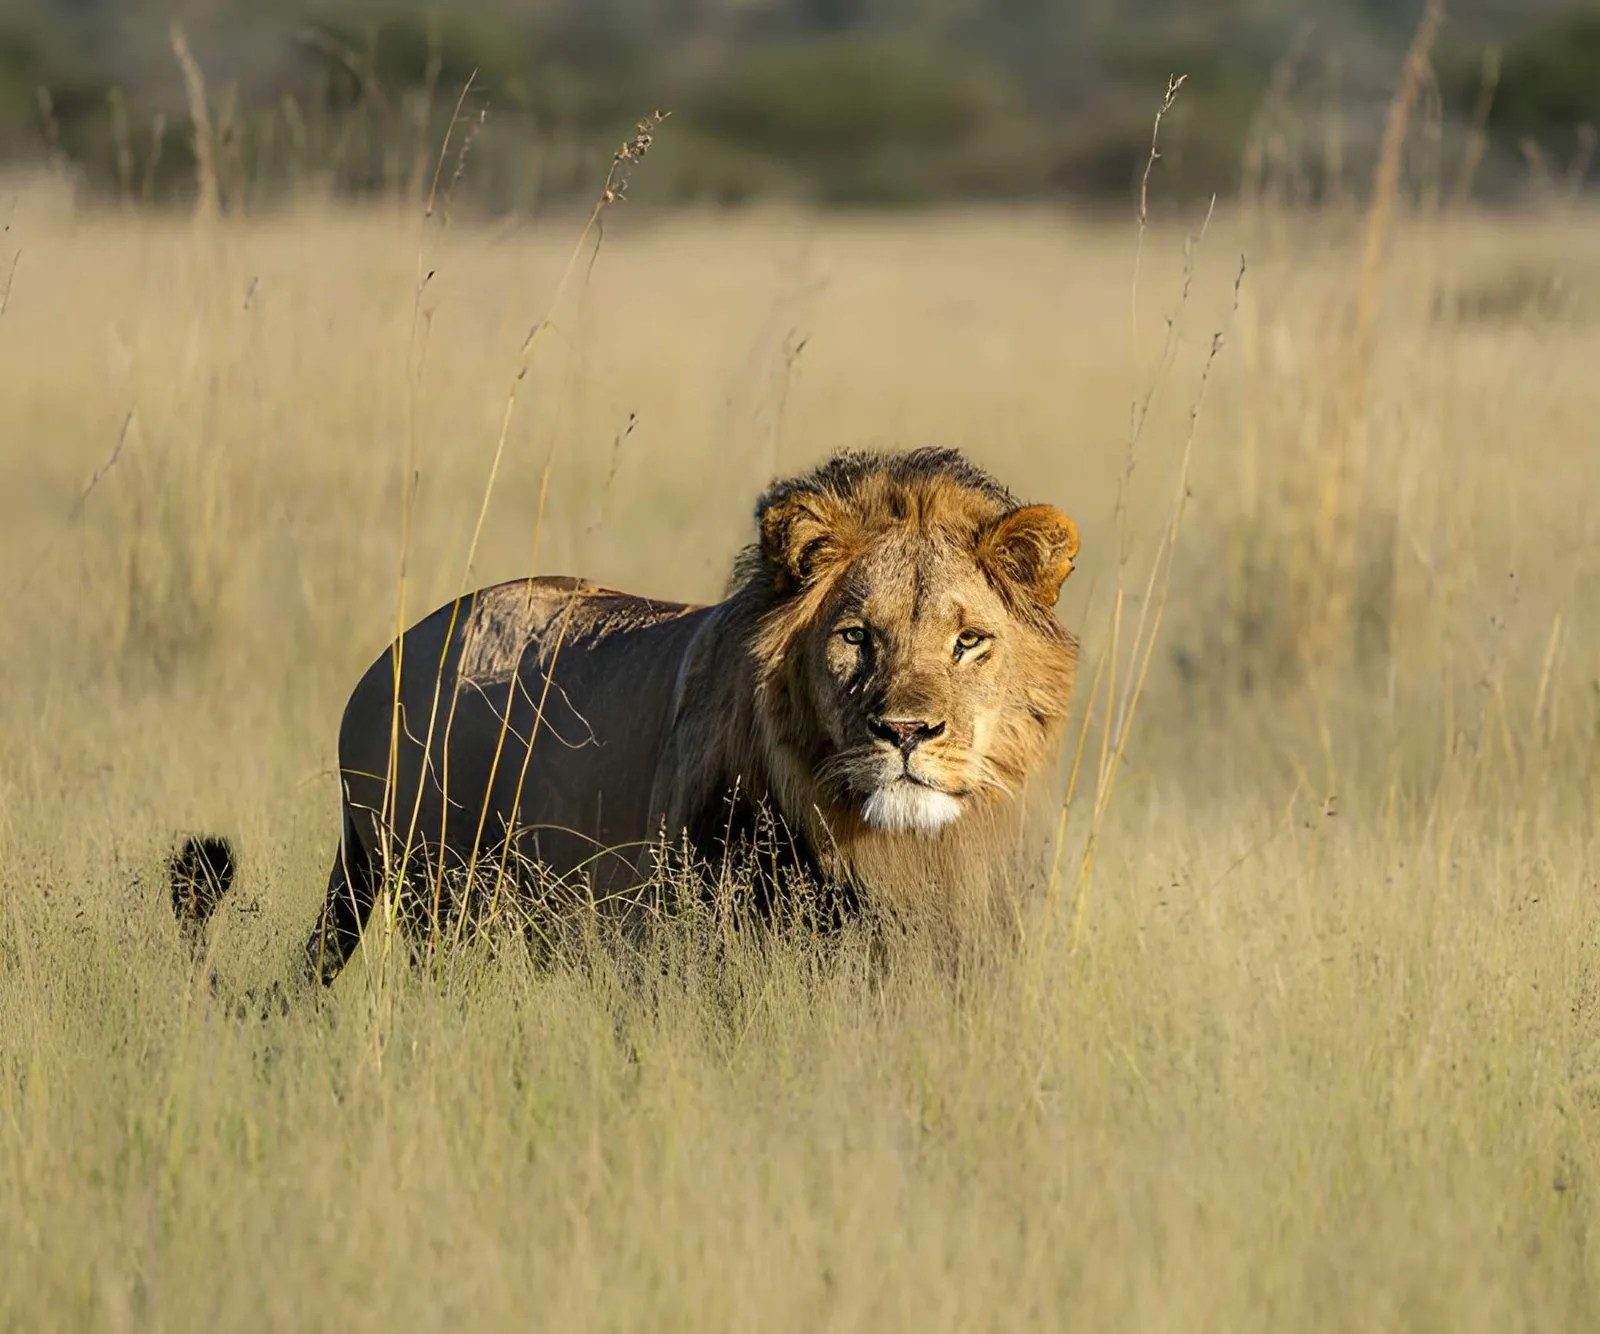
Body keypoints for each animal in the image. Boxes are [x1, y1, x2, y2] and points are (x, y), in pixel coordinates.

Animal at [170, 447, 1080, 986]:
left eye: (969, 641)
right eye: (857, 636)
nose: (906, 734)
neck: (890, 850)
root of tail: (379, 667)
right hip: (439, 895)